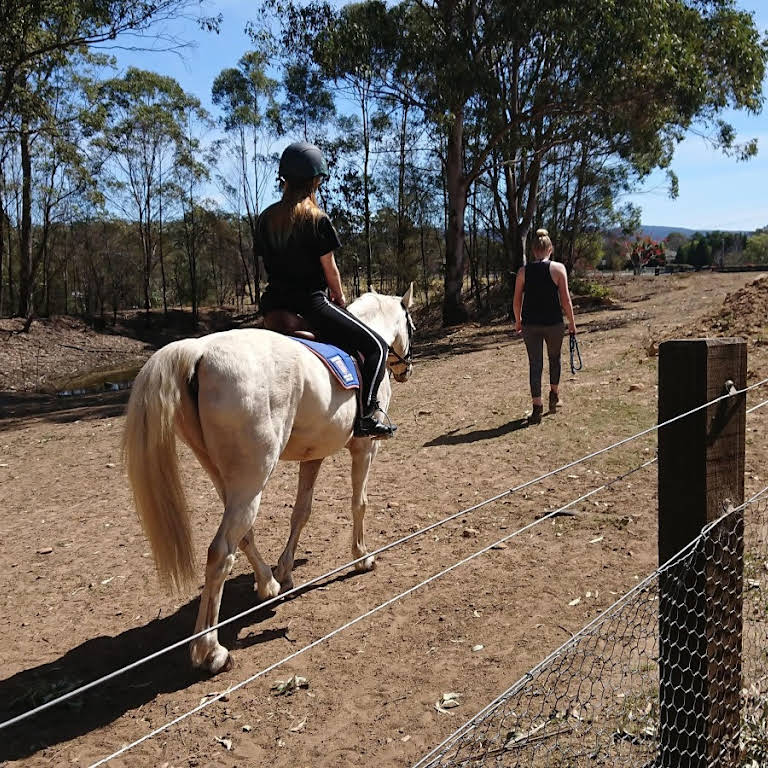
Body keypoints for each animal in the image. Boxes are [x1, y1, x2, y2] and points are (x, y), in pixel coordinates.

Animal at [124, 286, 416, 672]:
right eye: (411, 325)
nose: (407, 368)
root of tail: (199, 351)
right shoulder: (365, 448)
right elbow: (359, 503)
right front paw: (362, 556)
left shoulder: (313, 456)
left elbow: (301, 512)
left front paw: (287, 571)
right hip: (254, 477)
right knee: (220, 552)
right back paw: (210, 650)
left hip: (229, 478)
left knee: (242, 534)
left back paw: (268, 584)